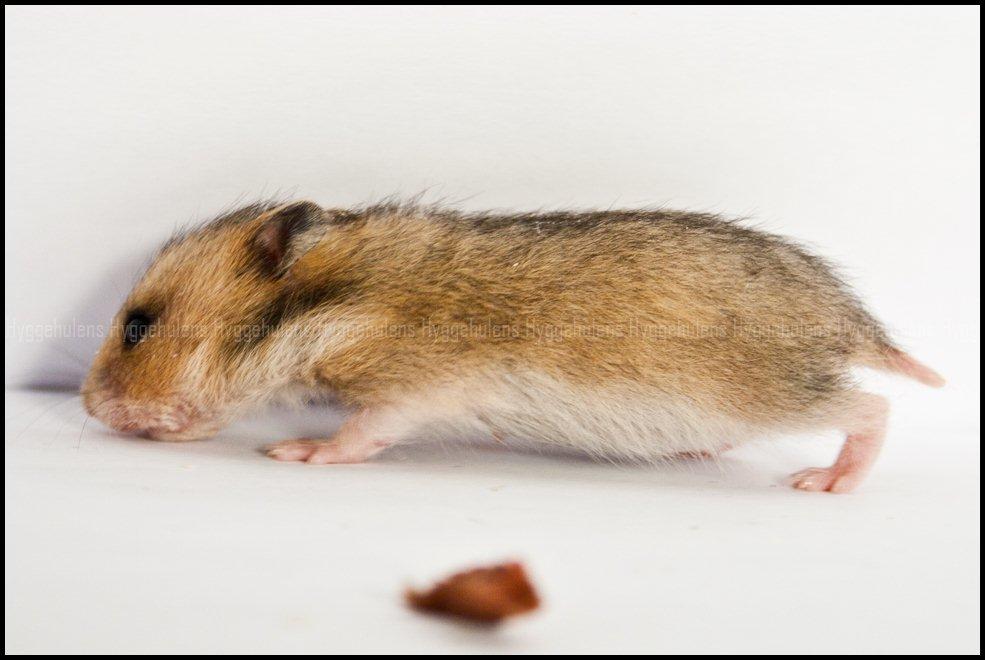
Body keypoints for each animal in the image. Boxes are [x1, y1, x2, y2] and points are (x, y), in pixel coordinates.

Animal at [81, 200, 944, 493]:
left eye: (137, 325)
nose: (85, 409)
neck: (334, 300)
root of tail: (853, 320)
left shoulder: (409, 387)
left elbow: (362, 432)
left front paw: (296, 452)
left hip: (769, 391)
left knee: (872, 407)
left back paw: (823, 482)